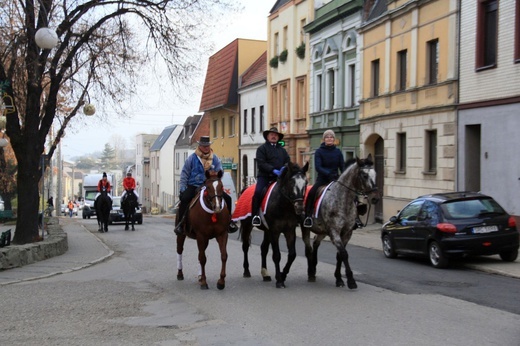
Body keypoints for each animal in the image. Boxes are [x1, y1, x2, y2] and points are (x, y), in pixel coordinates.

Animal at [235, 162, 308, 290]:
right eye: (291, 182)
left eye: (306, 183)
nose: (299, 207)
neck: (283, 205)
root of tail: (245, 189)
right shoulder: (275, 231)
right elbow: (277, 255)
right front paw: (279, 280)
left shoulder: (289, 231)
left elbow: (292, 254)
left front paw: (283, 275)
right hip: (248, 226)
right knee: (245, 246)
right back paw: (247, 271)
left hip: (266, 231)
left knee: (263, 248)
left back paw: (265, 274)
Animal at [300, 155, 378, 290]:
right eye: (364, 175)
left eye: (375, 174)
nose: (375, 198)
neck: (342, 200)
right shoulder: (334, 232)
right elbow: (344, 254)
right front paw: (351, 281)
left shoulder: (346, 233)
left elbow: (339, 256)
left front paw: (339, 279)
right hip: (306, 228)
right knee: (308, 248)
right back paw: (310, 272)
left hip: (322, 231)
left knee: (315, 243)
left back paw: (314, 268)